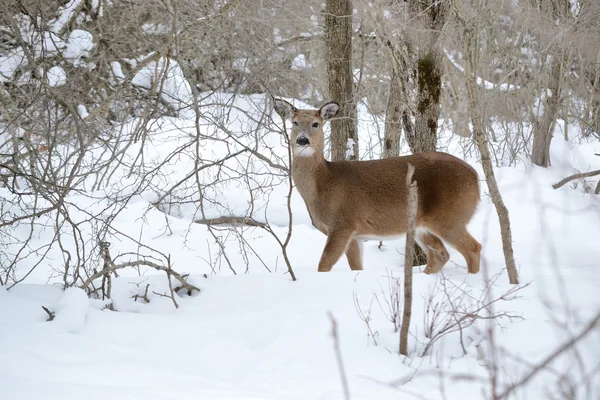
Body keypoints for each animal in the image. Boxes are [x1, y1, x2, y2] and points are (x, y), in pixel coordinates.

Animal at [274, 99, 482, 276]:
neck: (323, 184)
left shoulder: (343, 224)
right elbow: (356, 267)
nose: (302, 140)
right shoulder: (356, 235)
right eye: (294, 122)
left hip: (450, 217)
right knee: (439, 255)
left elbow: (323, 265)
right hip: (423, 225)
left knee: (473, 248)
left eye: (316, 124)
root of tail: (476, 177)